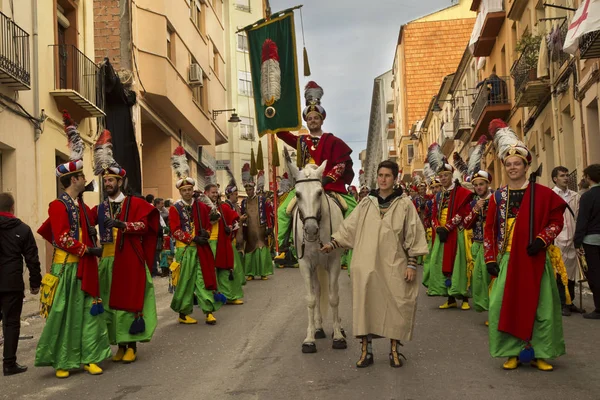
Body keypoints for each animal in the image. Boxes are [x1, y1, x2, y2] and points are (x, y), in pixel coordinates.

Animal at [288, 159, 346, 354]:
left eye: (319, 192)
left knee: (333, 290)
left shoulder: (334, 261)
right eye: (297, 194)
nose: (311, 230)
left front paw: (338, 336)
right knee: (319, 290)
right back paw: (319, 328)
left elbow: (334, 297)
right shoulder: (305, 264)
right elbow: (311, 299)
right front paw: (309, 338)